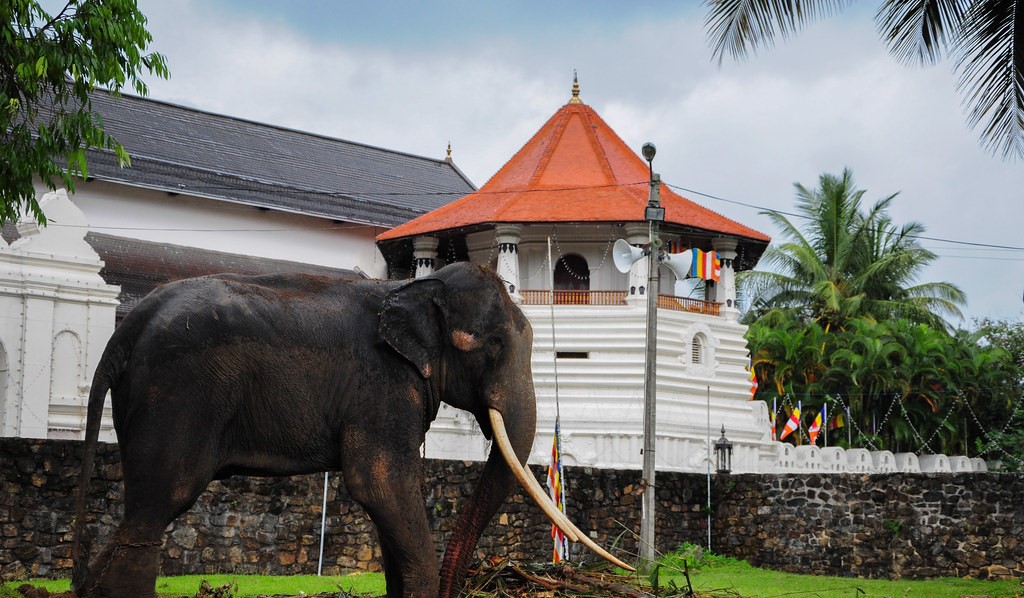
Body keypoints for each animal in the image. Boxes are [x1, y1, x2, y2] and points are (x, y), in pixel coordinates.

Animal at [70, 264, 630, 598]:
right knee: (157, 509)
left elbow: (392, 502)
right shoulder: (382, 387)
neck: (413, 288)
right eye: (489, 345)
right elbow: (380, 485)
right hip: (177, 396)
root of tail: (127, 326)